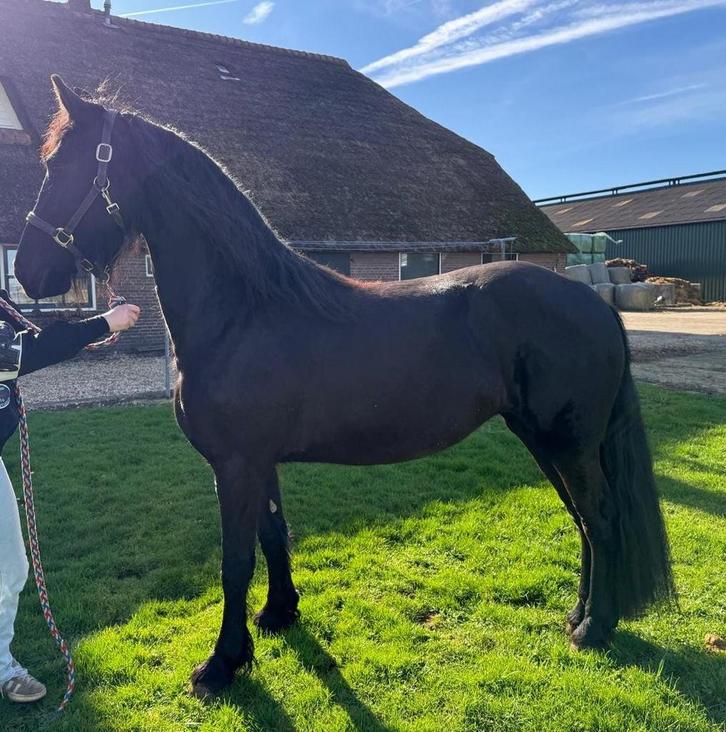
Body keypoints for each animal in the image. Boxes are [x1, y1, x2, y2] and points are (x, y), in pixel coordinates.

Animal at [15, 77, 674, 698]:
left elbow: (235, 562)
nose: (27, 272)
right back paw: (578, 616)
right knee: (584, 523)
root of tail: (594, 304)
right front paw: (278, 616)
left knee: (601, 518)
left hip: (568, 444)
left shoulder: (234, 464)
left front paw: (221, 665)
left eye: (62, 165)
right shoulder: (259, 462)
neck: (243, 312)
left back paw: (594, 629)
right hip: (544, 441)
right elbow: (273, 535)